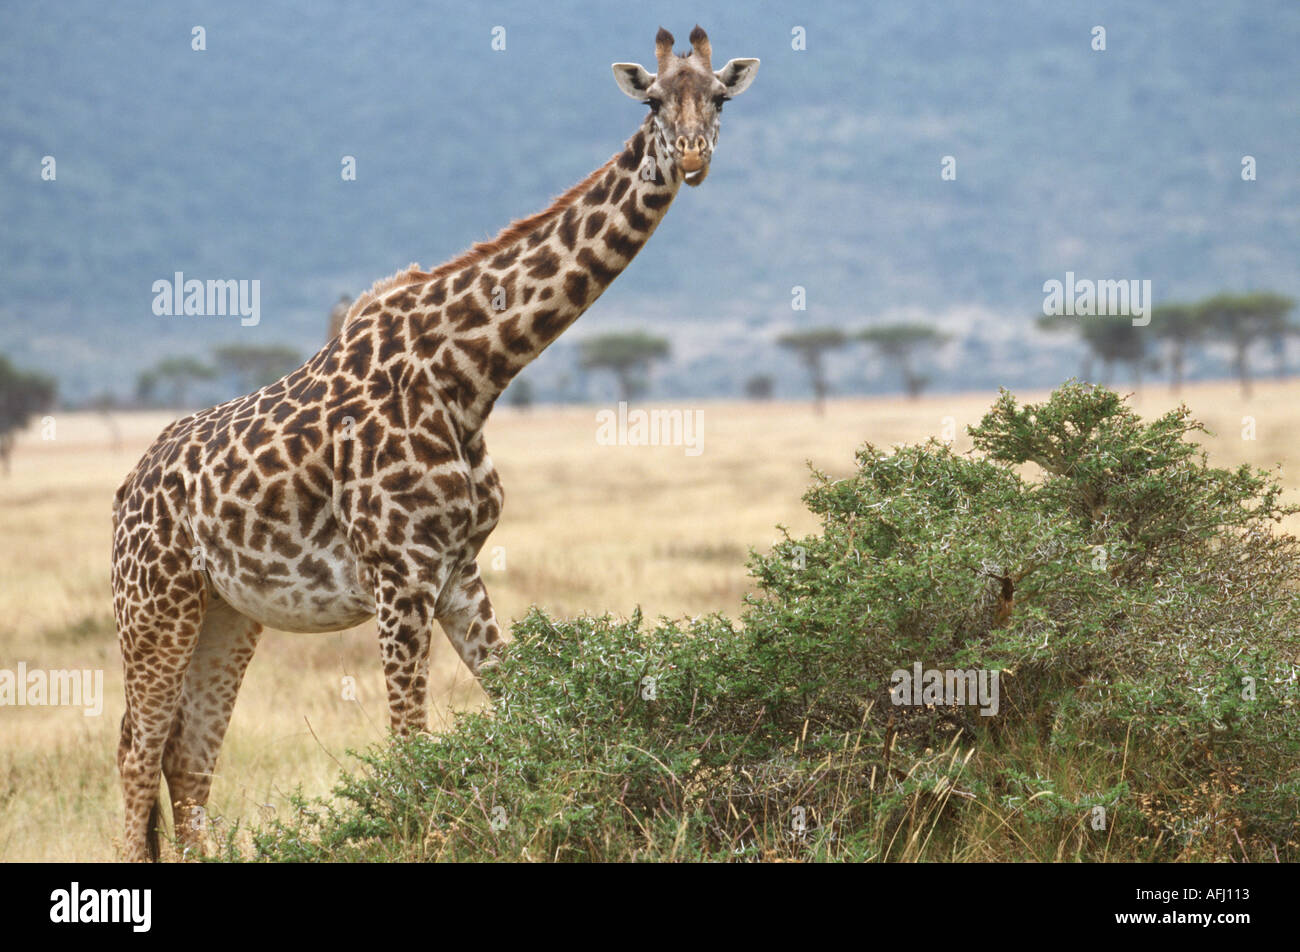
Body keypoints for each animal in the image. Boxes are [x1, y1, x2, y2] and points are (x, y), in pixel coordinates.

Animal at [111, 26, 758, 861]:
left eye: (718, 99)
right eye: (651, 101)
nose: (691, 158)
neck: (470, 375)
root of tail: (126, 491)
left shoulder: (458, 570)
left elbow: (526, 710)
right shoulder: (400, 575)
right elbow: (410, 746)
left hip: (226, 610)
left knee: (188, 754)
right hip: (152, 603)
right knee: (136, 749)